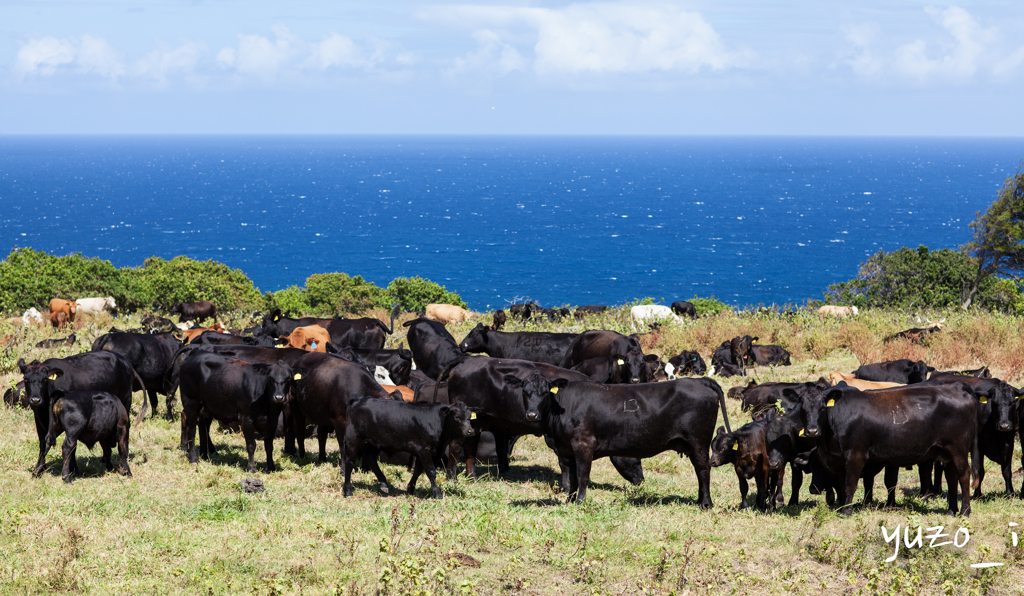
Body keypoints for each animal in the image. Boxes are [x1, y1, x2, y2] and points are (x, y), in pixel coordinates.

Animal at [339, 401, 475, 499]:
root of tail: (358, 400)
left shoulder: (424, 452)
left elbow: (418, 471)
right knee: (349, 463)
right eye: (456, 417)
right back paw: (348, 491)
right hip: (353, 441)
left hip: (373, 443)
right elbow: (431, 471)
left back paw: (383, 484)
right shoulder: (424, 450)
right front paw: (437, 494)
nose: (470, 431)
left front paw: (410, 489)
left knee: (370, 459)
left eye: (469, 418)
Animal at [536, 378, 729, 503]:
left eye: (544, 393)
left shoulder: (583, 445)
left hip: (699, 442)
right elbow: (572, 477)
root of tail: (698, 380)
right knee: (699, 471)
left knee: (703, 470)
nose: (532, 414)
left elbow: (582, 475)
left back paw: (706, 504)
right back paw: (699, 500)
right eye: (528, 392)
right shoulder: (567, 450)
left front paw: (580, 502)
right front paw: (569, 500)